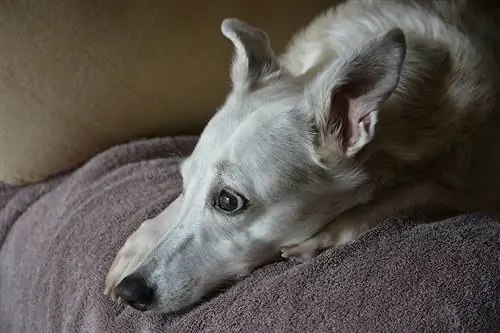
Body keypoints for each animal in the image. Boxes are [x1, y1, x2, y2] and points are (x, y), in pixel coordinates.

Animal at [103, 0, 500, 312]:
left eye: (229, 201)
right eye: (183, 182)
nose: (131, 292)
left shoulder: (474, 187)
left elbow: (414, 192)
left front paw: (329, 234)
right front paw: (140, 244)